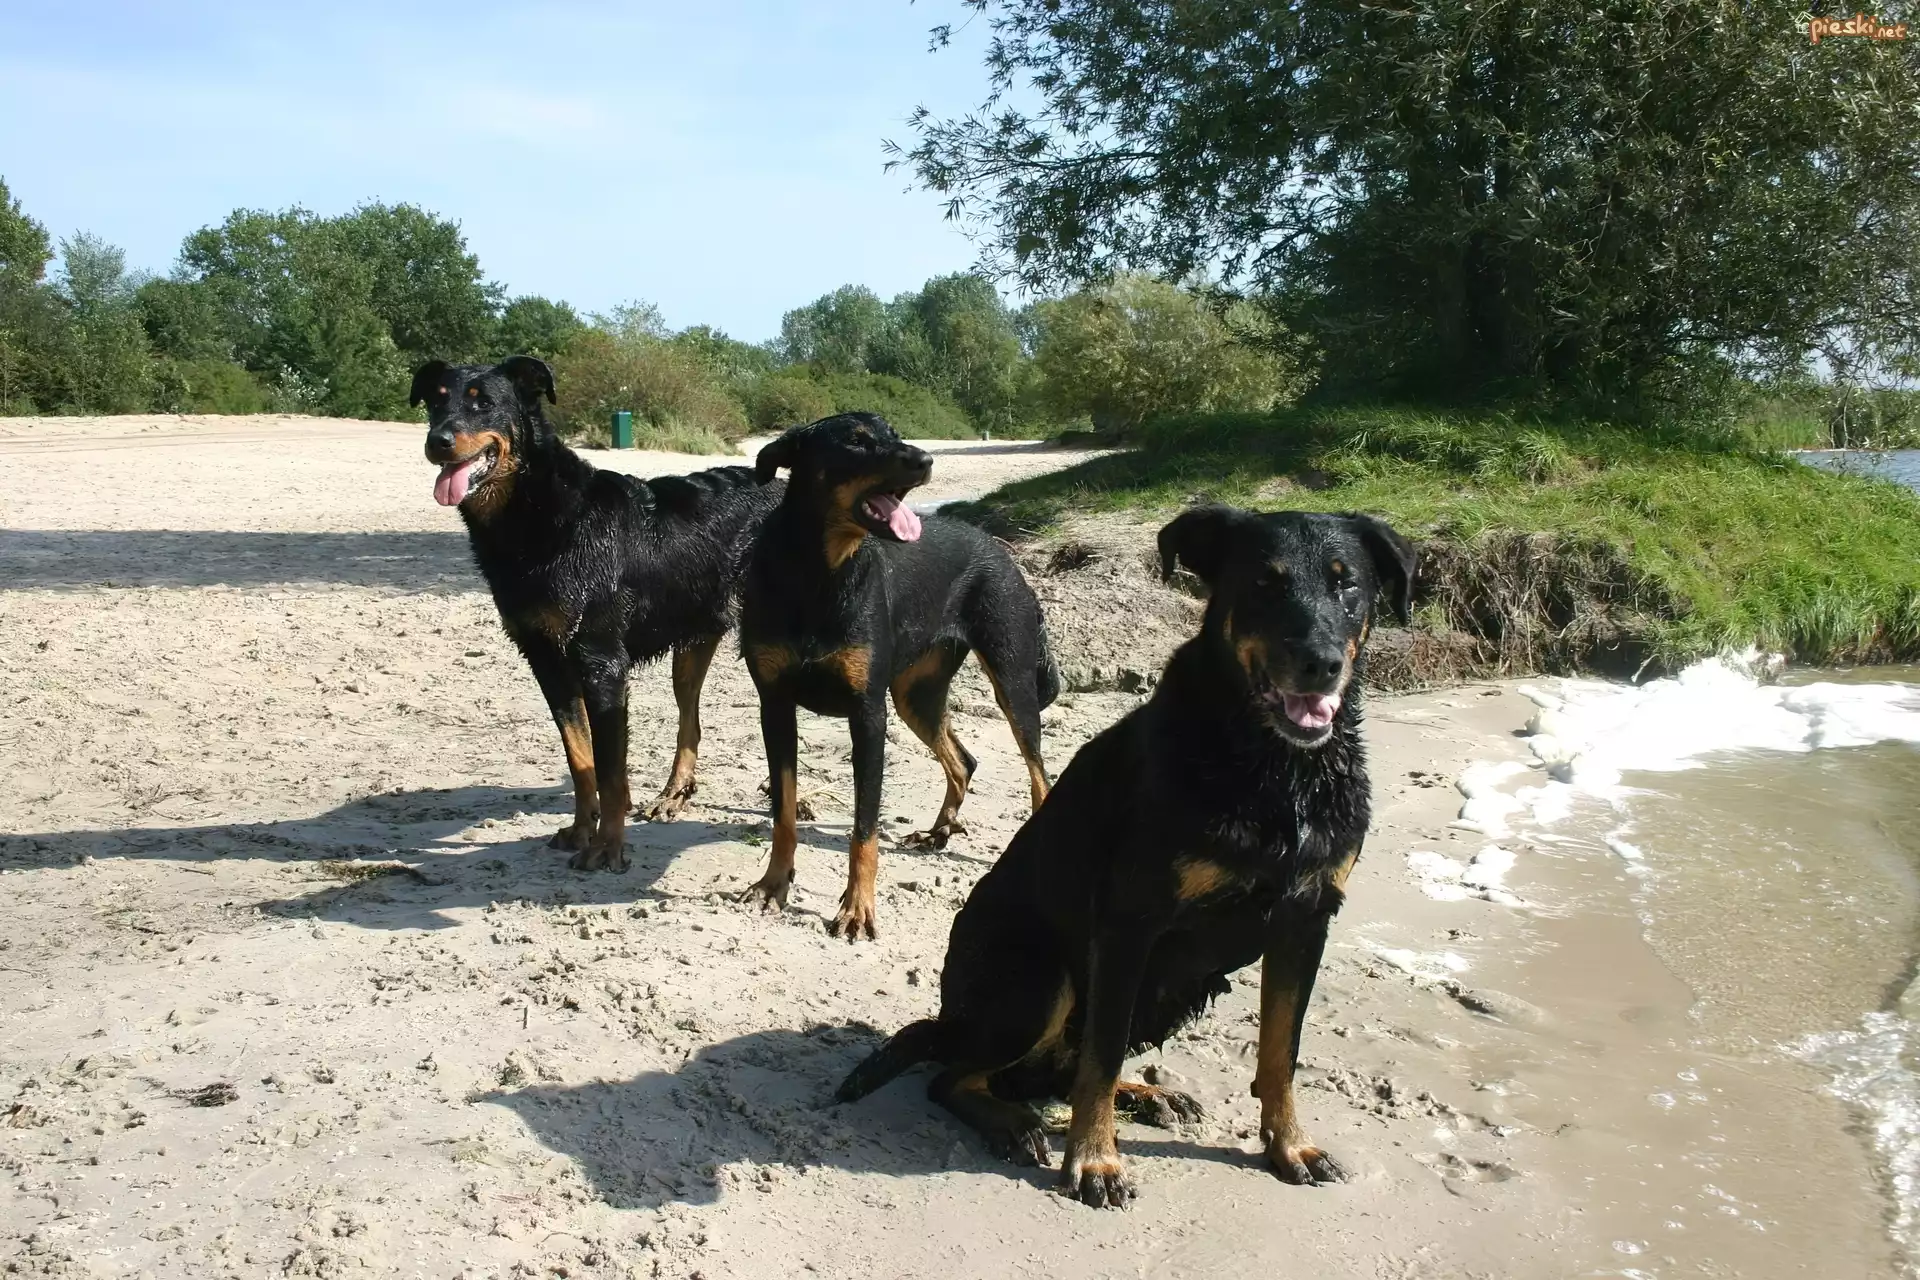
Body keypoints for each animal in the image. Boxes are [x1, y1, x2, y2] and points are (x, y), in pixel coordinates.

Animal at [413, 356, 781, 871]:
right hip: (692, 646)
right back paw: (673, 795)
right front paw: (582, 829)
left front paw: (608, 846)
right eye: (435, 401)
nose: (437, 441)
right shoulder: (546, 660)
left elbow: (610, 771)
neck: (539, 516)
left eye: (482, 403)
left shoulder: (602, 663)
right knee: (690, 722)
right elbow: (581, 758)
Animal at [737, 412, 1059, 940]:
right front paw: (773, 885)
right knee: (963, 761)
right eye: (855, 441)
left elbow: (864, 827)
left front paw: (857, 909)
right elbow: (784, 811)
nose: (926, 459)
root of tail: (1000, 550)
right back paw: (938, 832)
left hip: (1013, 685)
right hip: (916, 696)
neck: (819, 573)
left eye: (893, 432)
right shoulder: (775, 706)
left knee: (1039, 778)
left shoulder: (868, 714)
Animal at [835, 503, 1416, 1206]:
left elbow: (1281, 1051)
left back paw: (1145, 1094)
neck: (1275, 770)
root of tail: (949, 1017)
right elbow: (1103, 1054)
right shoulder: (1129, 925)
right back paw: (1013, 1123)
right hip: (1040, 976)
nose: (1320, 662)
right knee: (961, 1076)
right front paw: (1095, 1160)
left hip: (1178, 989)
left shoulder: (1306, 920)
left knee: (1051, 1072)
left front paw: (1289, 1144)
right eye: (1264, 584)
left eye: (1347, 583)